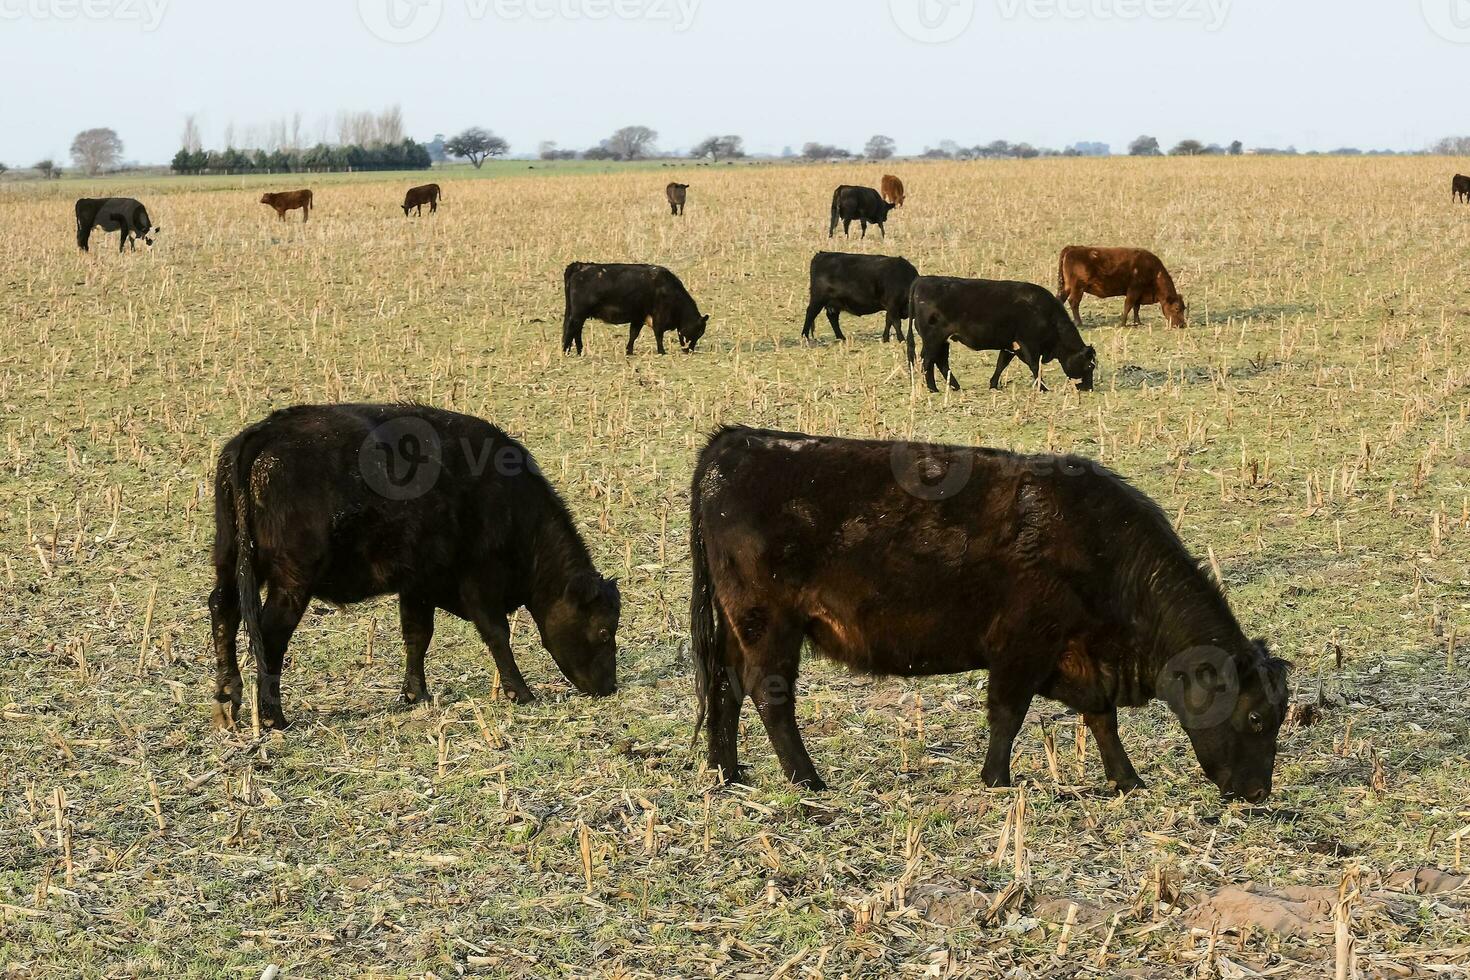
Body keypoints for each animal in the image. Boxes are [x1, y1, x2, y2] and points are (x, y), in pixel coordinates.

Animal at [558, 264, 708, 357]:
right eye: (698, 331)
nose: (689, 350)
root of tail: (580, 265)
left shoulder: (638, 317)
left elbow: (633, 334)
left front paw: (629, 351)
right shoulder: (658, 318)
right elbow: (658, 335)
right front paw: (662, 351)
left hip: (579, 315)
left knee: (576, 331)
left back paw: (579, 351)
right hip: (578, 314)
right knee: (572, 329)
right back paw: (566, 351)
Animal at [687, 429, 1287, 805]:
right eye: (1258, 717)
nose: (1258, 793)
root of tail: (734, 440)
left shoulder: (1076, 657)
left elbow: (1101, 717)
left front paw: (1127, 780)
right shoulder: (1023, 646)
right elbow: (1008, 715)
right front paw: (997, 780)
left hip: (739, 627)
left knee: (725, 688)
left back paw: (727, 771)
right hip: (769, 625)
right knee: (769, 696)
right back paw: (807, 780)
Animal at [899, 274, 1099, 393]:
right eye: (1090, 366)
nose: (1088, 388)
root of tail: (923, 279)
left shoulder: (1010, 345)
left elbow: (1001, 364)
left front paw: (993, 384)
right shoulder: (1028, 344)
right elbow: (1035, 366)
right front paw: (1043, 388)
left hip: (942, 341)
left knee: (940, 362)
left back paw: (955, 386)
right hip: (933, 339)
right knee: (928, 361)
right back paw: (933, 388)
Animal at [1052, 249, 1187, 329]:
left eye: (1184, 308)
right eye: (1177, 308)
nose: (1182, 324)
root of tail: (1072, 248)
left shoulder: (1139, 293)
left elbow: (1136, 307)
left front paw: (1137, 322)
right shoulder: (1134, 289)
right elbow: (1128, 305)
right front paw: (1123, 323)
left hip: (1066, 287)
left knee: (1060, 300)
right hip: (1077, 288)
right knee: (1074, 302)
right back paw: (1079, 323)